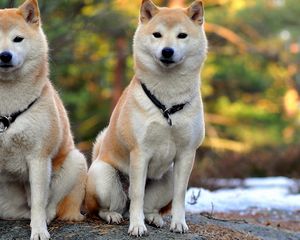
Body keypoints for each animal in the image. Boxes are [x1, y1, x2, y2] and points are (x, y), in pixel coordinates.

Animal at [0, 0, 87, 239]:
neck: (8, 108)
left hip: (74, 161)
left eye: (17, 39)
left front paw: (39, 231)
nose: (4, 55)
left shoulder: (39, 157)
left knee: (49, 206)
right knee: (20, 212)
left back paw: (45, 218)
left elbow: (39, 202)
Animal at [86, 0, 207, 236]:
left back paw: (153, 218)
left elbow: (180, 195)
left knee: (150, 206)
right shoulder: (140, 152)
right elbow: (137, 195)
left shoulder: (187, 153)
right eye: (157, 35)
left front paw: (179, 223)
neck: (168, 102)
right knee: (108, 207)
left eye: (182, 35)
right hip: (103, 176)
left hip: (167, 179)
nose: (167, 51)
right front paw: (136, 226)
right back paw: (114, 215)